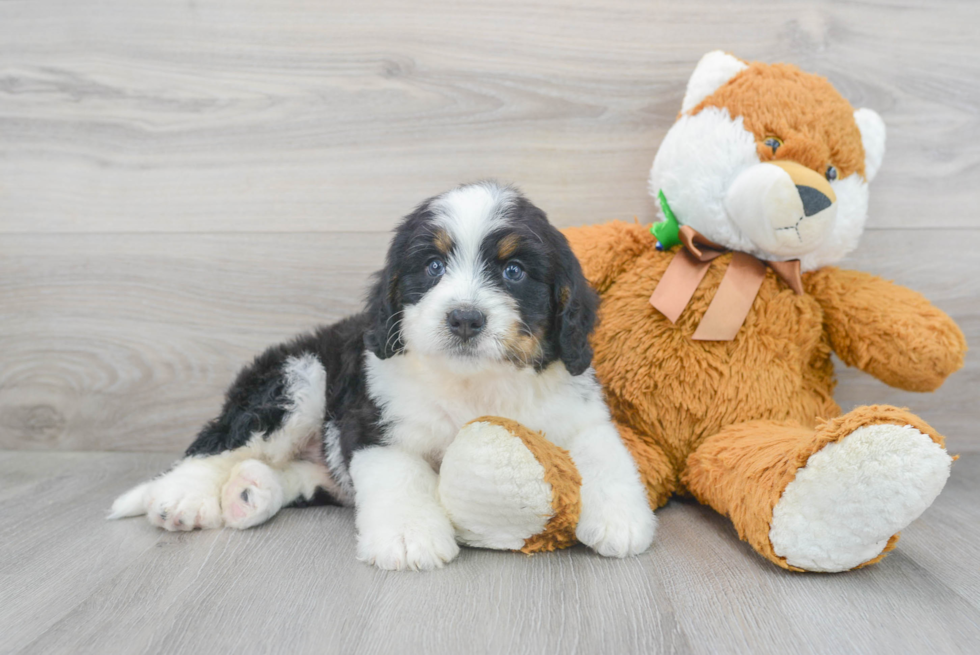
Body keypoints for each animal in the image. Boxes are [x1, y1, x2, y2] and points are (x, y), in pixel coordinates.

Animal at [111, 183, 656, 568]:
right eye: (433, 266)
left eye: (514, 271)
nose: (464, 318)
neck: (474, 384)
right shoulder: (375, 423)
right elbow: (402, 477)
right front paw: (409, 538)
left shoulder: (576, 405)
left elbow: (604, 451)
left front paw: (621, 519)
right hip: (297, 378)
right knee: (216, 443)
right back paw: (182, 497)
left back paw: (251, 492)